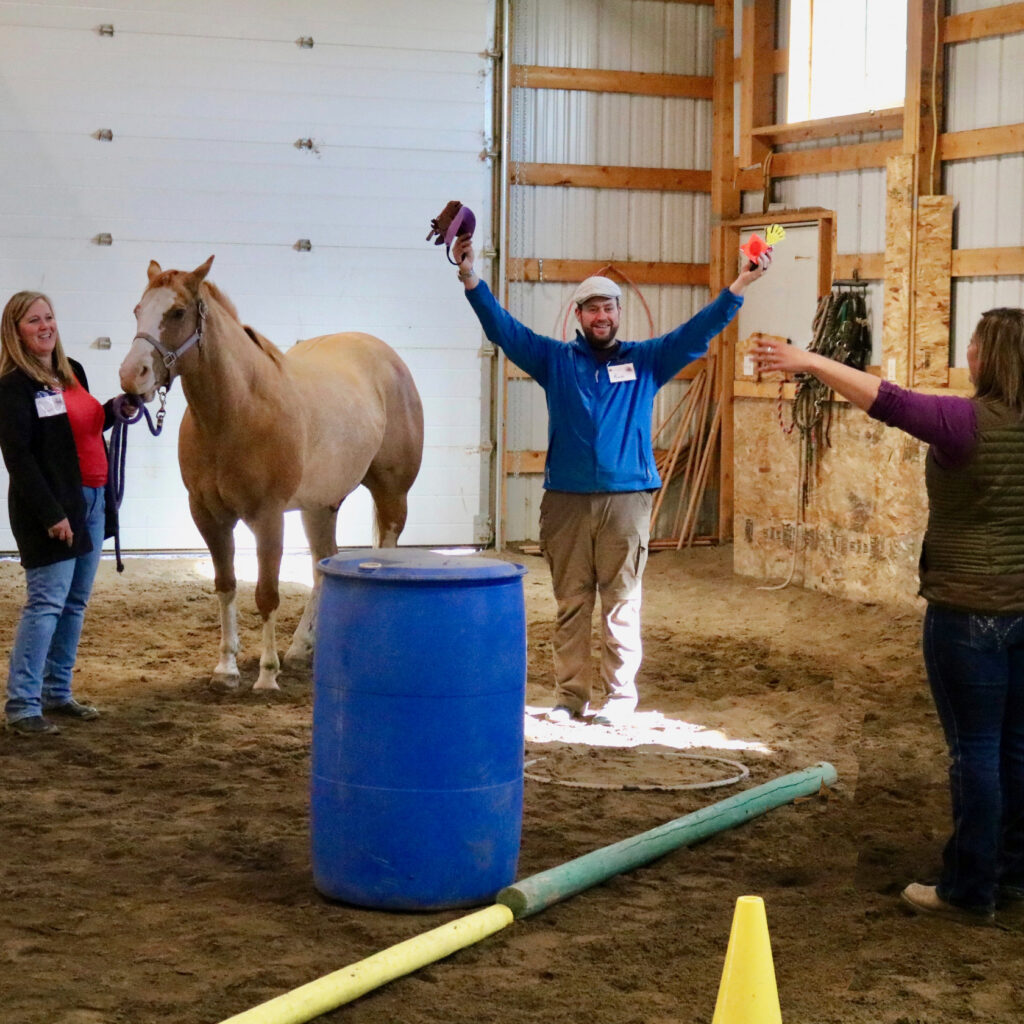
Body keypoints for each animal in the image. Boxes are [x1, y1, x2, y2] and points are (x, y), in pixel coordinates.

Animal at [119, 256, 423, 688]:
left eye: (177, 312)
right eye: (138, 310)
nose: (132, 375)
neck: (235, 412)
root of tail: (390, 360)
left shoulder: (268, 516)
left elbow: (266, 593)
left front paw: (266, 674)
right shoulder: (207, 515)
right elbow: (226, 586)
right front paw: (226, 669)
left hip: (392, 493)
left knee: (383, 553)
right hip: (320, 506)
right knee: (322, 565)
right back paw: (300, 648)